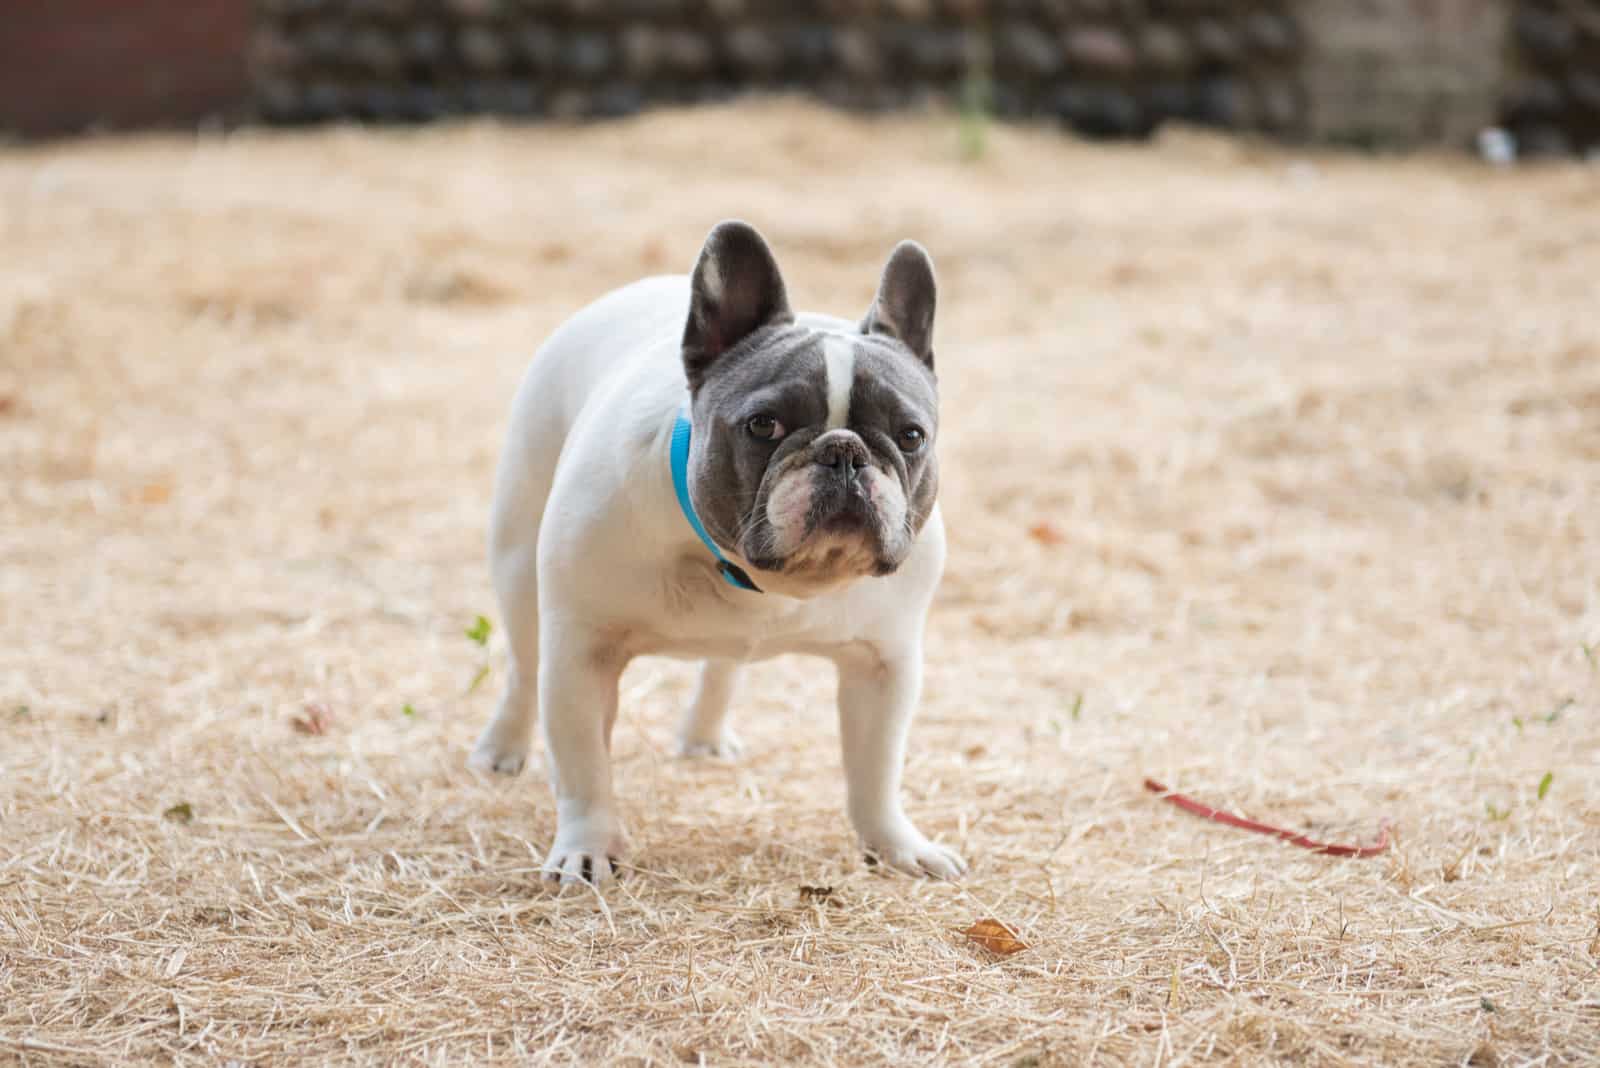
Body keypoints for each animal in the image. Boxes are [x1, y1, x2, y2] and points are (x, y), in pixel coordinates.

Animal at [464, 219, 960, 882]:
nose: (845, 451)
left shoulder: (883, 663)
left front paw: (897, 846)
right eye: (764, 425)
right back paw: (501, 747)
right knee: (522, 668)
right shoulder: (580, 653)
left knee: (723, 664)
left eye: (910, 436)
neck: (766, 579)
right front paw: (587, 848)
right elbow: (583, 767)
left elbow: (876, 772)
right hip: (518, 562)